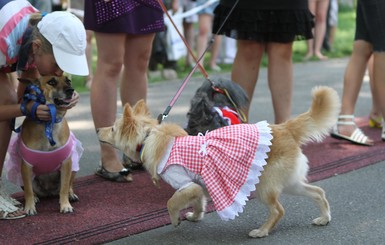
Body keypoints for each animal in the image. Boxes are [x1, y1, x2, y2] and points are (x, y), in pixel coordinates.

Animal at [4, 75, 82, 215]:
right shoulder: (26, 166)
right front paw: (29, 207)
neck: (49, 123)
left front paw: (65, 205)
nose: (71, 90)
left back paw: (71, 194)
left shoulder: (66, 163)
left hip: (72, 170)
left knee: (68, 185)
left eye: (68, 81)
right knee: (30, 190)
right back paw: (35, 198)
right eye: (51, 82)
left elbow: (64, 188)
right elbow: (28, 191)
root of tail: (48, 192)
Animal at [96, 86, 340, 237]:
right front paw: (196, 216)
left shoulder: (186, 184)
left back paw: (262, 231)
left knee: (278, 211)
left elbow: (171, 202)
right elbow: (198, 202)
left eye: (113, 129)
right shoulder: (197, 186)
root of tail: (285, 128)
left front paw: (174, 220)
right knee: (318, 192)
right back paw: (324, 218)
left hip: (265, 187)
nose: (97, 129)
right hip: (290, 183)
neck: (148, 138)